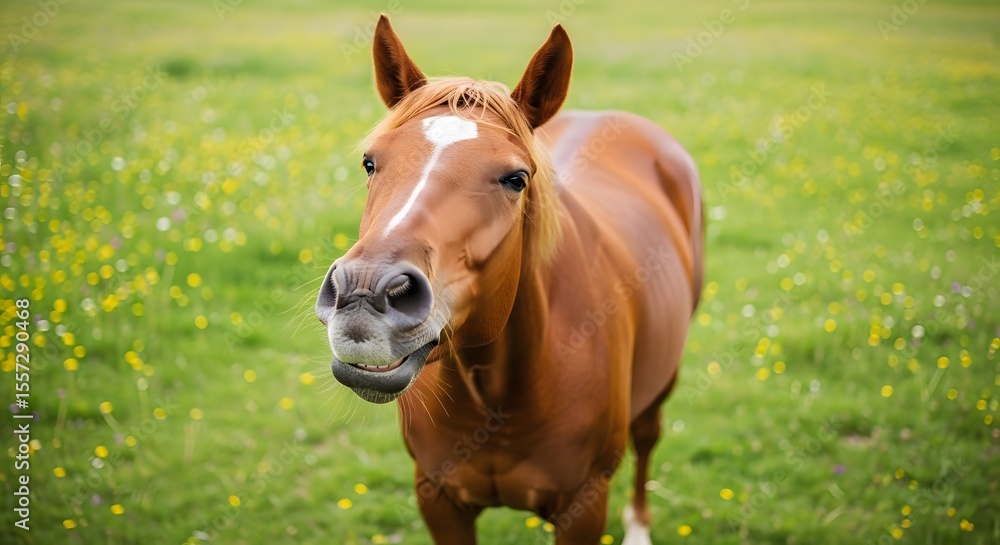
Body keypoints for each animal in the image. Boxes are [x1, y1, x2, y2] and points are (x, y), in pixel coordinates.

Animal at [315, 15, 704, 544]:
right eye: (371, 162)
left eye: (516, 178)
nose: (363, 294)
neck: (496, 392)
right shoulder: (437, 497)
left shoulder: (584, 505)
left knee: (647, 438)